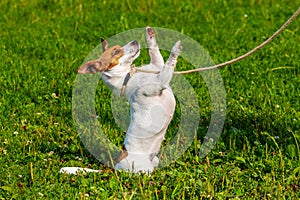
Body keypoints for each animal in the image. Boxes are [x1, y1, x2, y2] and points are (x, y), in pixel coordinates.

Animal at [58, 27, 180, 175]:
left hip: (154, 160)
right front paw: (176, 49)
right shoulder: (160, 82)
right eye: (116, 52)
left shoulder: (156, 65)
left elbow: (154, 51)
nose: (134, 41)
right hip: (143, 171)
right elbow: (168, 64)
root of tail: (115, 167)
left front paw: (149, 34)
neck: (126, 76)